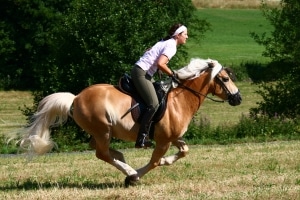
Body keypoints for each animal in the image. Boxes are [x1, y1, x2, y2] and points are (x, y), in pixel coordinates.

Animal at [16, 58, 241, 187]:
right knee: (101, 153)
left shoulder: (172, 137)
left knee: (99, 148)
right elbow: (155, 161)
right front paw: (134, 176)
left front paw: (162, 163)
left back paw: (123, 160)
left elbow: (183, 151)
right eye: (225, 79)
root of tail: (76, 97)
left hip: (101, 131)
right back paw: (129, 170)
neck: (181, 100)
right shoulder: (163, 140)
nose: (238, 98)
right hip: (103, 130)